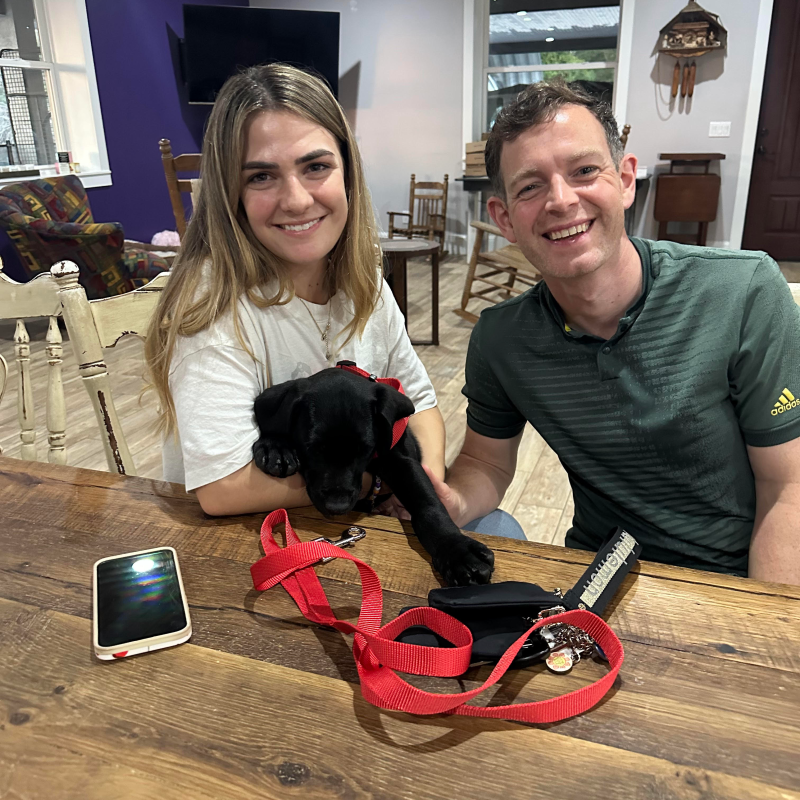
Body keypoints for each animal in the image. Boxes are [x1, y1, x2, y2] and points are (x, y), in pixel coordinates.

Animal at [252, 364, 494, 586]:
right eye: (312, 448)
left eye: (365, 449)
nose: (337, 507)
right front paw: (275, 446)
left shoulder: (402, 462)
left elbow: (429, 505)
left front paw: (457, 550)